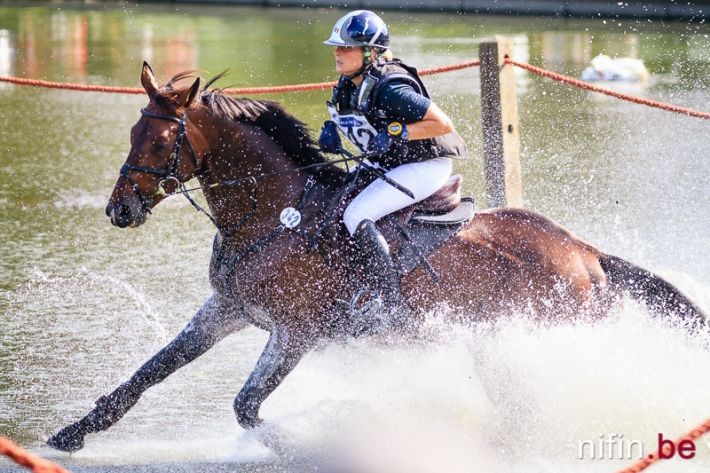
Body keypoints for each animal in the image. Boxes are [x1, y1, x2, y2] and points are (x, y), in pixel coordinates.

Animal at [48, 61, 708, 450]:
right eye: (132, 133)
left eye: (161, 141)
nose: (119, 211)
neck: (270, 217)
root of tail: (585, 251)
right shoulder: (228, 310)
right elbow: (148, 373)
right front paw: (73, 433)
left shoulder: (296, 331)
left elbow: (247, 407)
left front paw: (305, 446)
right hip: (501, 339)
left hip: (549, 333)